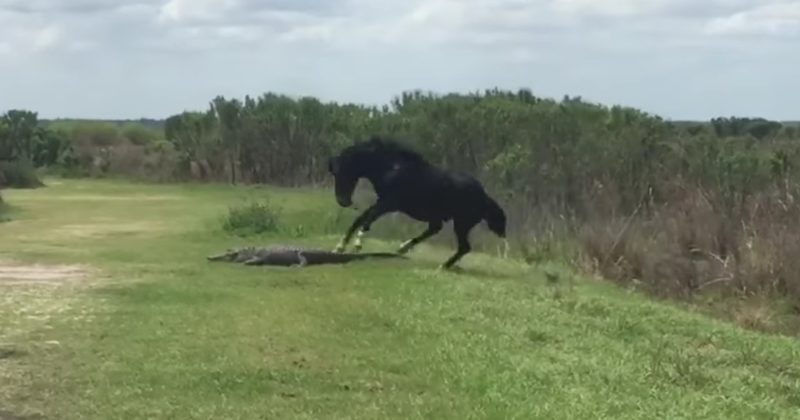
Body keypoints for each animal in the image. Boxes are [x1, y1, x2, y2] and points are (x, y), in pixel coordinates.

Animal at [327, 135, 508, 269]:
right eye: (335, 173)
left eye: (343, 171)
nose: (343, 201)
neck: (392, 168)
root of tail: (484, 197)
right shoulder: (383, 201)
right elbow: (360, 218)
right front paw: (340, 246)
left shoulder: (389, 203)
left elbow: (368, 219)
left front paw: (357, 244)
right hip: (444, 218)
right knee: (435, 230)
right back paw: (404, 247)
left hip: (462, 223)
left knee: (464, 246)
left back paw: (442, 266)